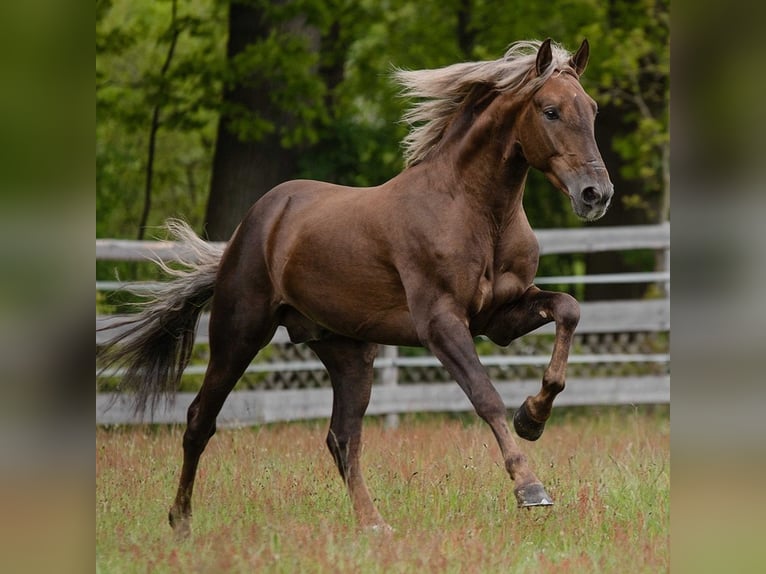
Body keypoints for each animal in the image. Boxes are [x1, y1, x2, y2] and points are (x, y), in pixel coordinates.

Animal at [97, 38, 613, 537]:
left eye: (591, 109)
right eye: (550, 110)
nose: (596, 194)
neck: (476, 211)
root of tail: (253, 226)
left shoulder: (498, 319)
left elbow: (568, 309)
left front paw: (533, 417)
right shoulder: (441, 324)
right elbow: (485, 396)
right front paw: (530, 488)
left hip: (348, 352)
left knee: (342, 437)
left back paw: (374, 524)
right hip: (239, 334)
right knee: (199, 420)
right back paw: (181, 522)